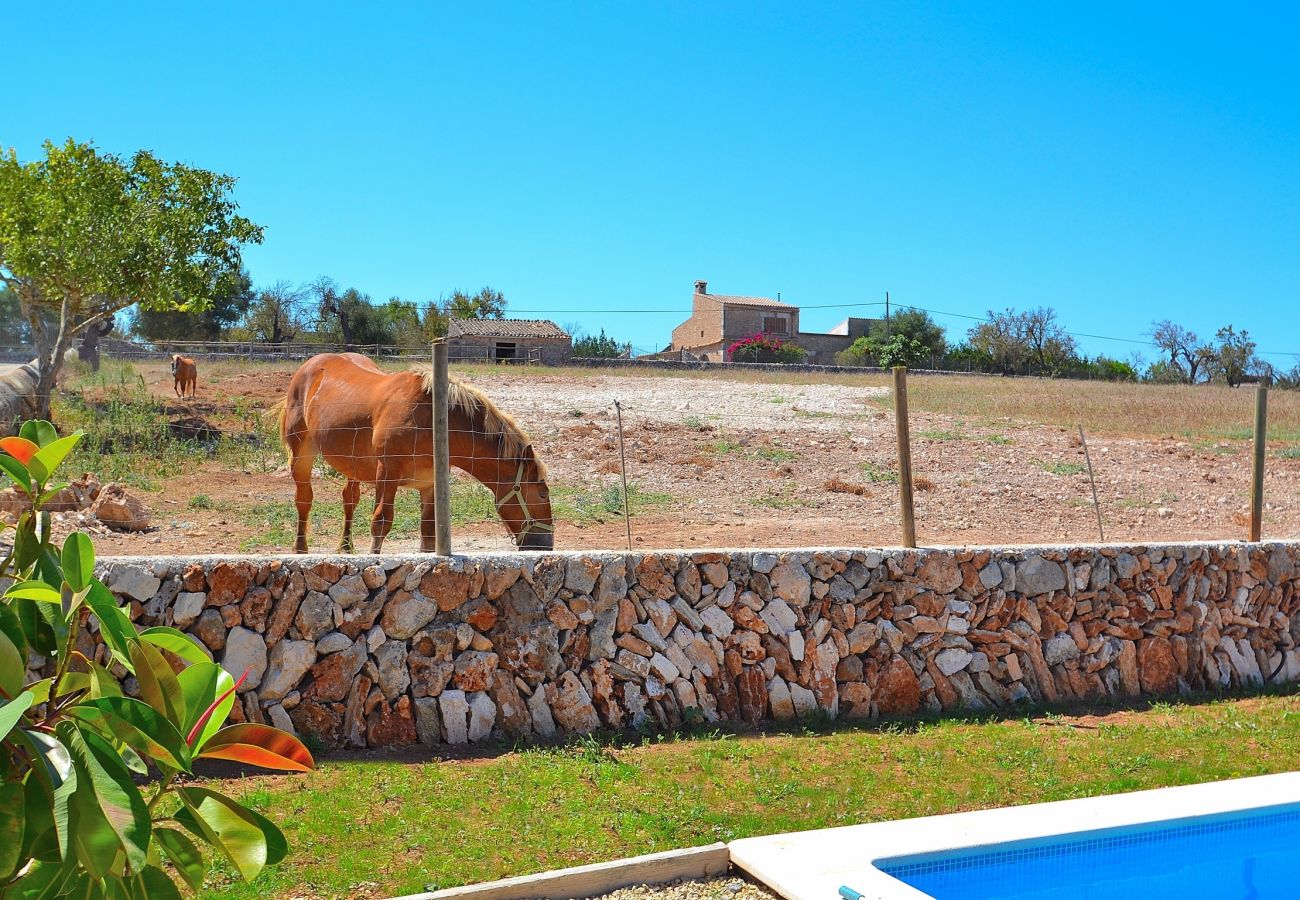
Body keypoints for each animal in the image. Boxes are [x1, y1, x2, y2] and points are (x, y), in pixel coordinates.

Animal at [279, 353, 553, 551]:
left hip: (351, 464)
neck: (433, 420)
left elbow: (428, 532)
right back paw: (300, 547)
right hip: (301, 456)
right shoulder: (387, 475)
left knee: (349, 498)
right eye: (542, 494)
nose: (547, 545)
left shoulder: (430, 483)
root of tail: (310, 365)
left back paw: (346, 548)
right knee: (304, 499)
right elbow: (380, 522)